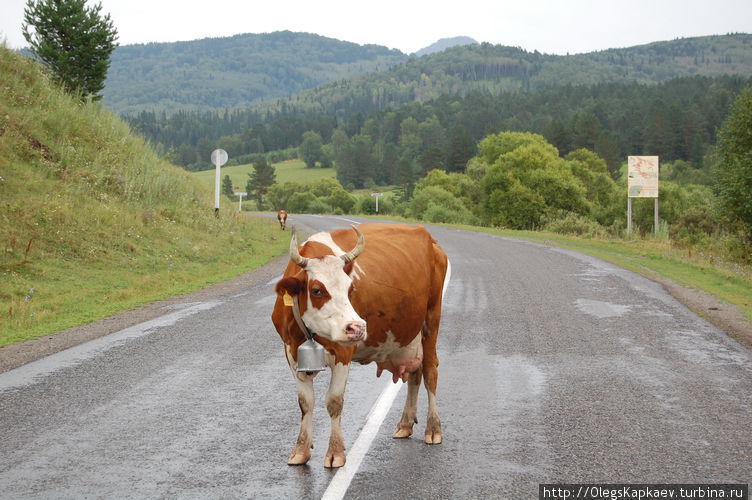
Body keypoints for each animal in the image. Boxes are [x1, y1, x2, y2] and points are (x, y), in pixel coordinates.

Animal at [270, 225, 450, 466]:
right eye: (317, 290)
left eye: (350, 288)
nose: (357, 327)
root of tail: (428, 237)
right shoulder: (290, 352)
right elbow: (305, 402)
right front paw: (300, 450)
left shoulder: (343, 352)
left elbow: (334, 401)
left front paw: (335, 452)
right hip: (409, 334)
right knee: (414, 375)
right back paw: (405, 424)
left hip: (432, 318)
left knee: (430, 372)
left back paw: (433, 428)